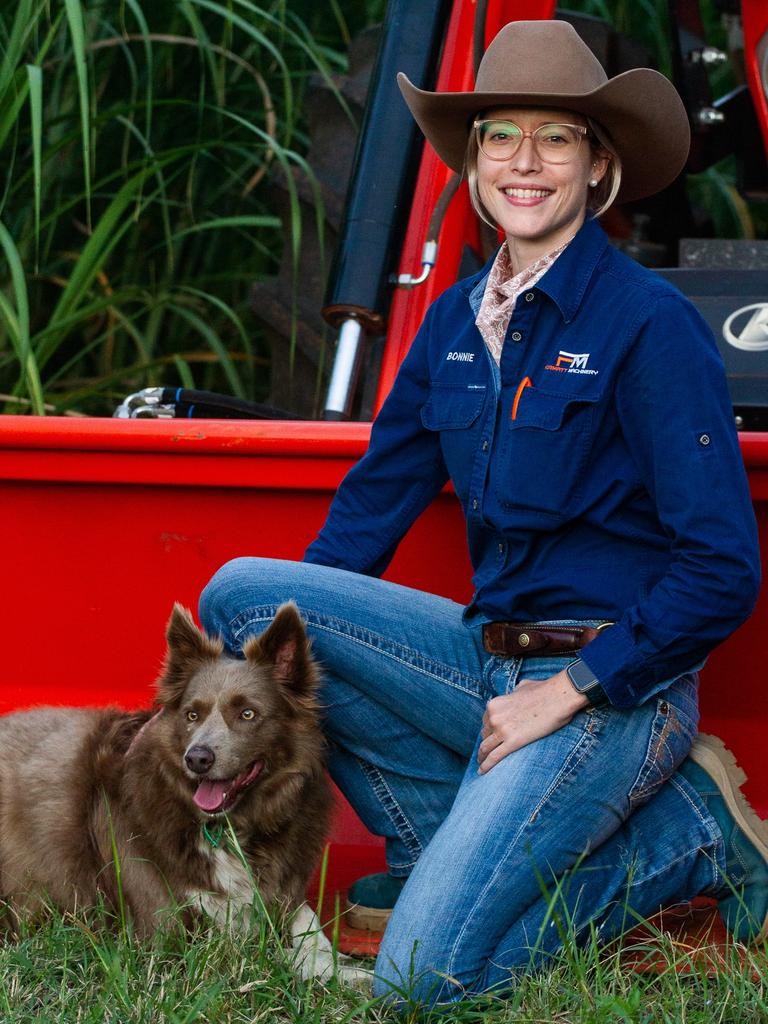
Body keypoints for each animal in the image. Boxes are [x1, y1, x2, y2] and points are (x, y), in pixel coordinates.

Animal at [0, 602, 370, 987]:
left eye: (247, 713)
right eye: (193, 714)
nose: (197, 758)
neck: (230, 827)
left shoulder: (281, 894)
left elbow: (308, 925)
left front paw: (345, 964)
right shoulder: (170, 934)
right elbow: (268, 957)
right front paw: (340, 972)